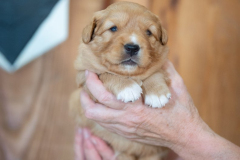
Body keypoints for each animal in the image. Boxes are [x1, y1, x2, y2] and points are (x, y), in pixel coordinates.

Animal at [70, 1, 171, 160]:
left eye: (148, 32)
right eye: (113, 28)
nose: (132, 47)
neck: (128, 73)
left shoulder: (160, 64)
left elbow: (156, 72)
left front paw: (156, 94)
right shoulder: (84, 75)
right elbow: (106, 74)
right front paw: (128, 88)